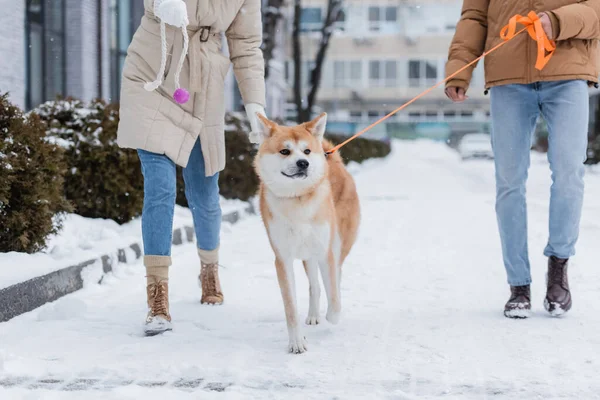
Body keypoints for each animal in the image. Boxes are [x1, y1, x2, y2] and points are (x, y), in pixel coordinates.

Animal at [251, 112, 358, 354]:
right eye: (285, 151)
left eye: (307, 151)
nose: (303, 163)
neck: (297, 199)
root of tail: (332, 159)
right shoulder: (283, 259)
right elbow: (291, 307)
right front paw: (297, 342)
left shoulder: (326, 251)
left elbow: (333, 294)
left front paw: (333, 315)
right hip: (307, 255)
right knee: (315, 286)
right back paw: (313, 315)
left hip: (337, 242)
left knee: (335, 276)